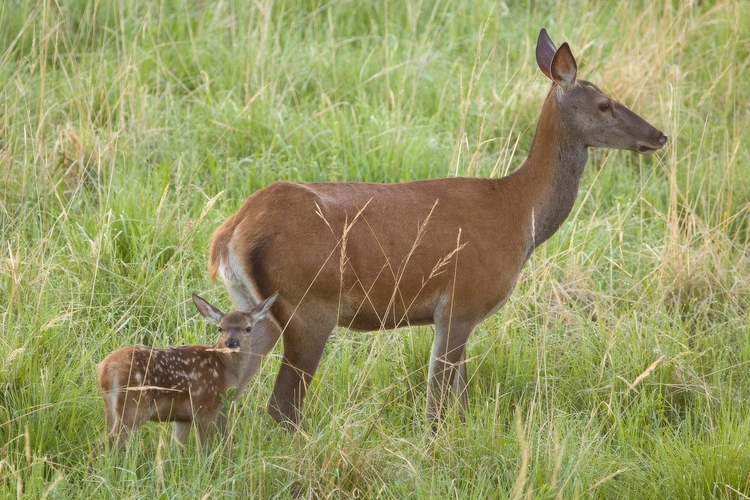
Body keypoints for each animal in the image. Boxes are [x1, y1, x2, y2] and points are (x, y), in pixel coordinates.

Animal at [97, 292, 278, 448]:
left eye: (248, 328)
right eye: (220, 328)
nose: (231, 342)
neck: (223, 369)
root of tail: (105, 368)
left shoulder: (183, 417)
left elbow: (176, 451)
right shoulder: (205, 408)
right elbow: (205, 449)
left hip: (110, 407)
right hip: (133, 407)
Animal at [207, 29, 668, 430]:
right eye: (605, 104)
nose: (659, 135)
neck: (519, 213)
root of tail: (231, 233)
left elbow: (457, 402)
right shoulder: (461, 302)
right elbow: (439, 407)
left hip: (252, 311)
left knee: (230, 393)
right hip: (310, 304)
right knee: (281, 405)